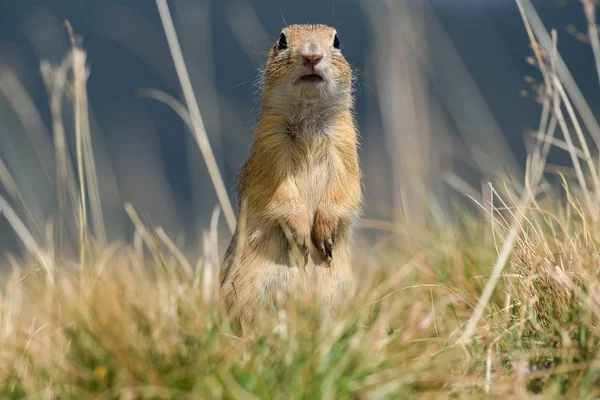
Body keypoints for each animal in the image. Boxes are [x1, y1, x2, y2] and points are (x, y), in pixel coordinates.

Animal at [220, 23, 360, 326]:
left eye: (337, 41)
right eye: (282, 41)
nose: (312, 56)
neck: (308, 118)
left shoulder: (345, 146)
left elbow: (345, 190)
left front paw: (324, 234)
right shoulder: (269, 148)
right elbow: (278, 195)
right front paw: (301, 234)